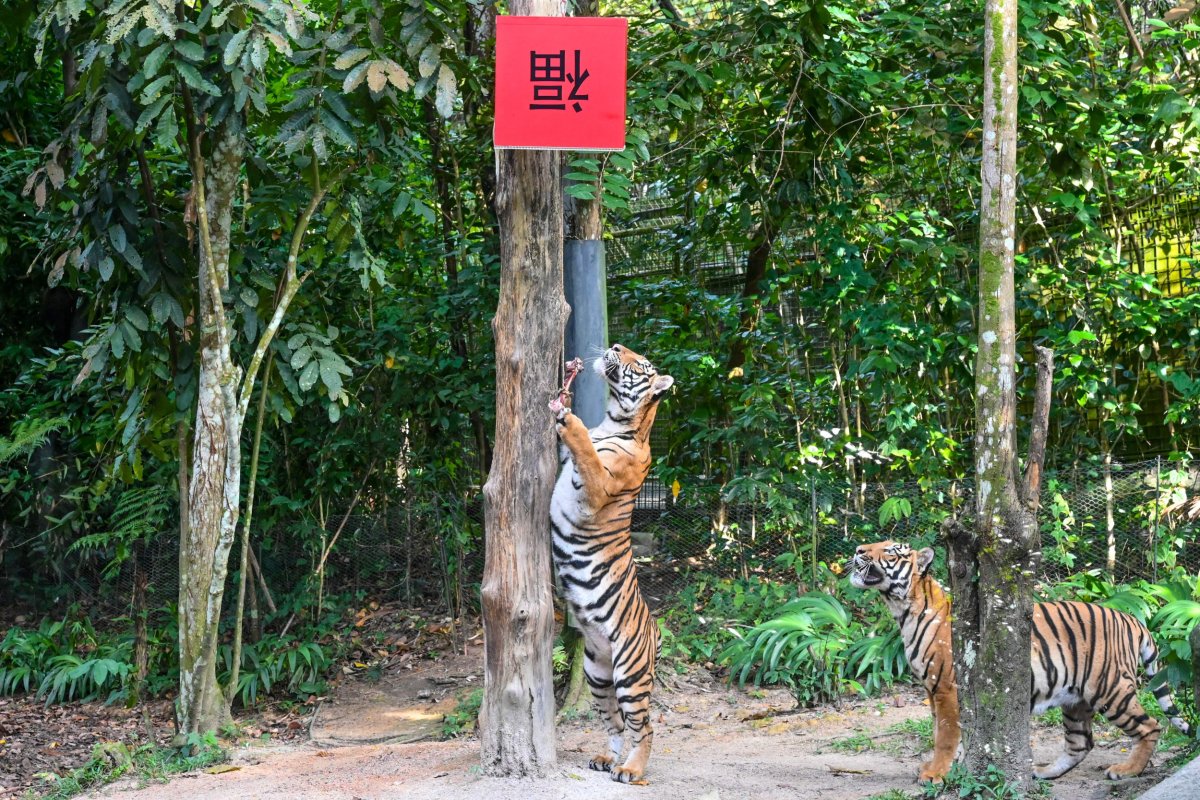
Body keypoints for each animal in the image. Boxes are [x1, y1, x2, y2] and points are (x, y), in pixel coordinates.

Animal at [549, 343, 672, 782]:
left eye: (642, 364)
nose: (617, 347)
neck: (614, 419)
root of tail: (655, 631)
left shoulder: (598, 485)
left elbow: (584, 448)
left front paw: (568, 417)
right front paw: (564, 403)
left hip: (629, 675)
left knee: (645, 726)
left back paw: (632, 770)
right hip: (596, 673)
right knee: (615, 723)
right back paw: (607, 759)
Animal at [849, 544, 1185, 782]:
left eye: (890, 551)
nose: (858, 551)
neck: (903, 609)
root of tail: (1132, 619)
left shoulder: (946, 688)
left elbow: (945, 735)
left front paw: (935, 774)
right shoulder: (931, 690)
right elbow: (942, 732)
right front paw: (947, 766)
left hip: (1110, 689)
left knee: (1151, 726)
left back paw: (1127, 770)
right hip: (1075, 699)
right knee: (1080, 744)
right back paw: (1043, 772)